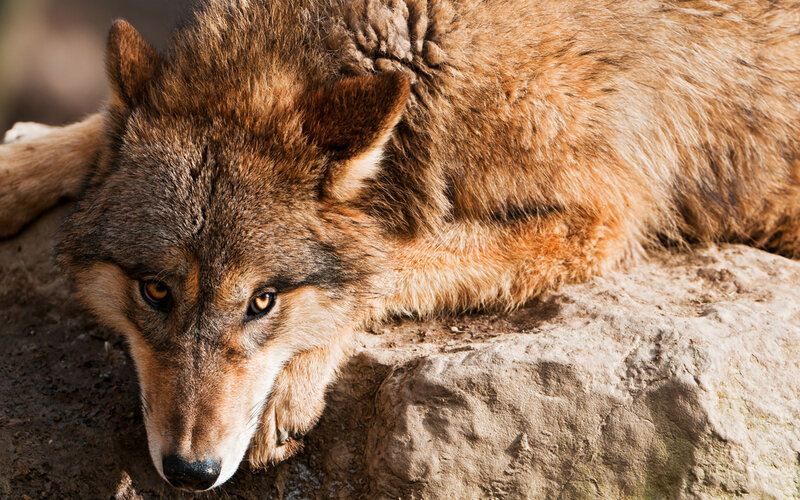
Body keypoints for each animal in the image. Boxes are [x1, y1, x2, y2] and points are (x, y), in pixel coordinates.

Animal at [1, 0, 799, 492]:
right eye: (156, 291)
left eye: (264, 301)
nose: (189, 471)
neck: (423, 47)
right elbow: (88, 134)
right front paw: (18, 169)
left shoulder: (597, 220)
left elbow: (384, 261)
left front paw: (297, 380)